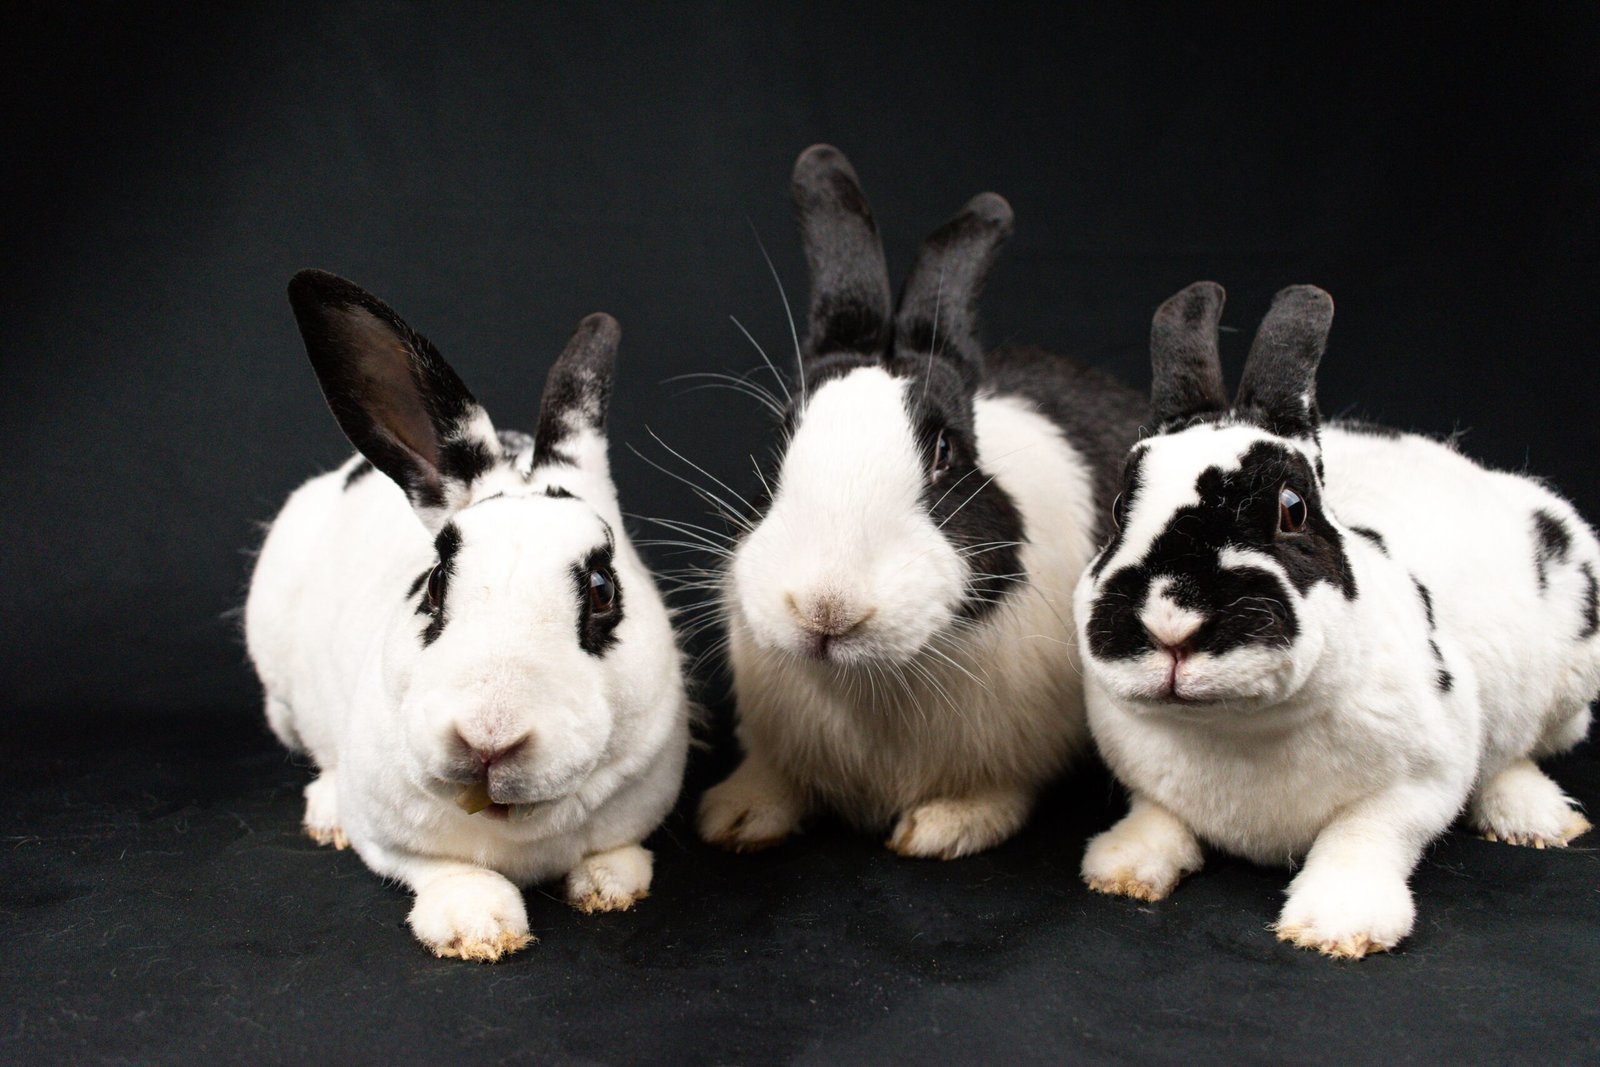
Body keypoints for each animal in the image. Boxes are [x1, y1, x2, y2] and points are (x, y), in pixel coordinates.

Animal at [245, 270, 690, 961]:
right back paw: (325, 812)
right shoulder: (390, 837)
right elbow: (443, 869)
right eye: (433, 584)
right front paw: (477, 927)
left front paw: (609, 887)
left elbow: (617, 851)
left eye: (602, 590)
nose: (488, 738)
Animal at [697, 145, 1148, 859]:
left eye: (946, 453)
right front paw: (735, 816)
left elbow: (995, 792)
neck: (867, 681)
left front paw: (941, 828)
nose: (826, 607)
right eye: (781, 436)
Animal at [1075, 281, 1599, 958]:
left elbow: (1362, 839)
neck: (1236, 728)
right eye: (1119, 510)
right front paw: (1121, 868)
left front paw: (1338, 927)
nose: (1171, 624)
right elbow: (1157, 817)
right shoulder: (1145, 781)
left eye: (1292, 510)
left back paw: (1539, 820)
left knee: (1519, 752)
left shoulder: (1419, 784)